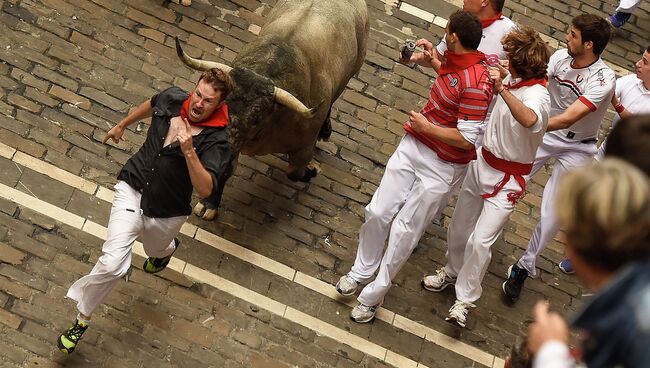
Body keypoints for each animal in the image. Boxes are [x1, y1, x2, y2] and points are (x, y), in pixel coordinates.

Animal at [176, 0, 370, 218]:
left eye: (256, 118)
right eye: (222, 107)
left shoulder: (303, 147)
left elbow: (294, 172)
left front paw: (311, 171)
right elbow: (225, 169)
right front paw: (209, 203)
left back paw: (325, 130)